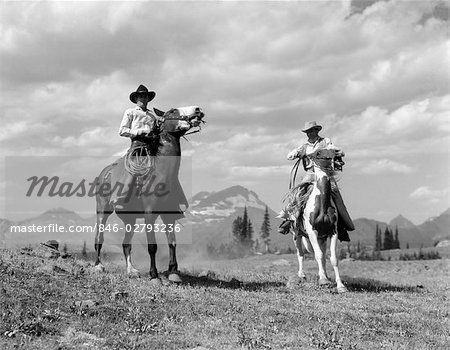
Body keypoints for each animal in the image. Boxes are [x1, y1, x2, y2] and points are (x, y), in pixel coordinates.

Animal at [94, 106, 205, 282]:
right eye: (172, 111)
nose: (197, 110)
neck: (160, 174)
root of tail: (104, 173)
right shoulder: (149, 214)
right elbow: (152, 246)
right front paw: (154, 275)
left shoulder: (169, 215)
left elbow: (172, 242)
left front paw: (173, 272)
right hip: (102, 210)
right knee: (99, 238)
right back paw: (98, 266)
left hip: (130, 218)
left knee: (126, 244)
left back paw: (131, 270)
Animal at [292, 149, 348, 294]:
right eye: (318, 153)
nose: (339, 154)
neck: (321, 204)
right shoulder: (312, 232)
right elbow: (317, 255)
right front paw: (322, 280)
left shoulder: (333, 232)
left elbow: (332, 258)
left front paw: (340, 285)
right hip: (297, 235)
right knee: (301, 254)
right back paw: (302, 275)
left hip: (322, 238)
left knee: (322, 256)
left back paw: (325, 276)